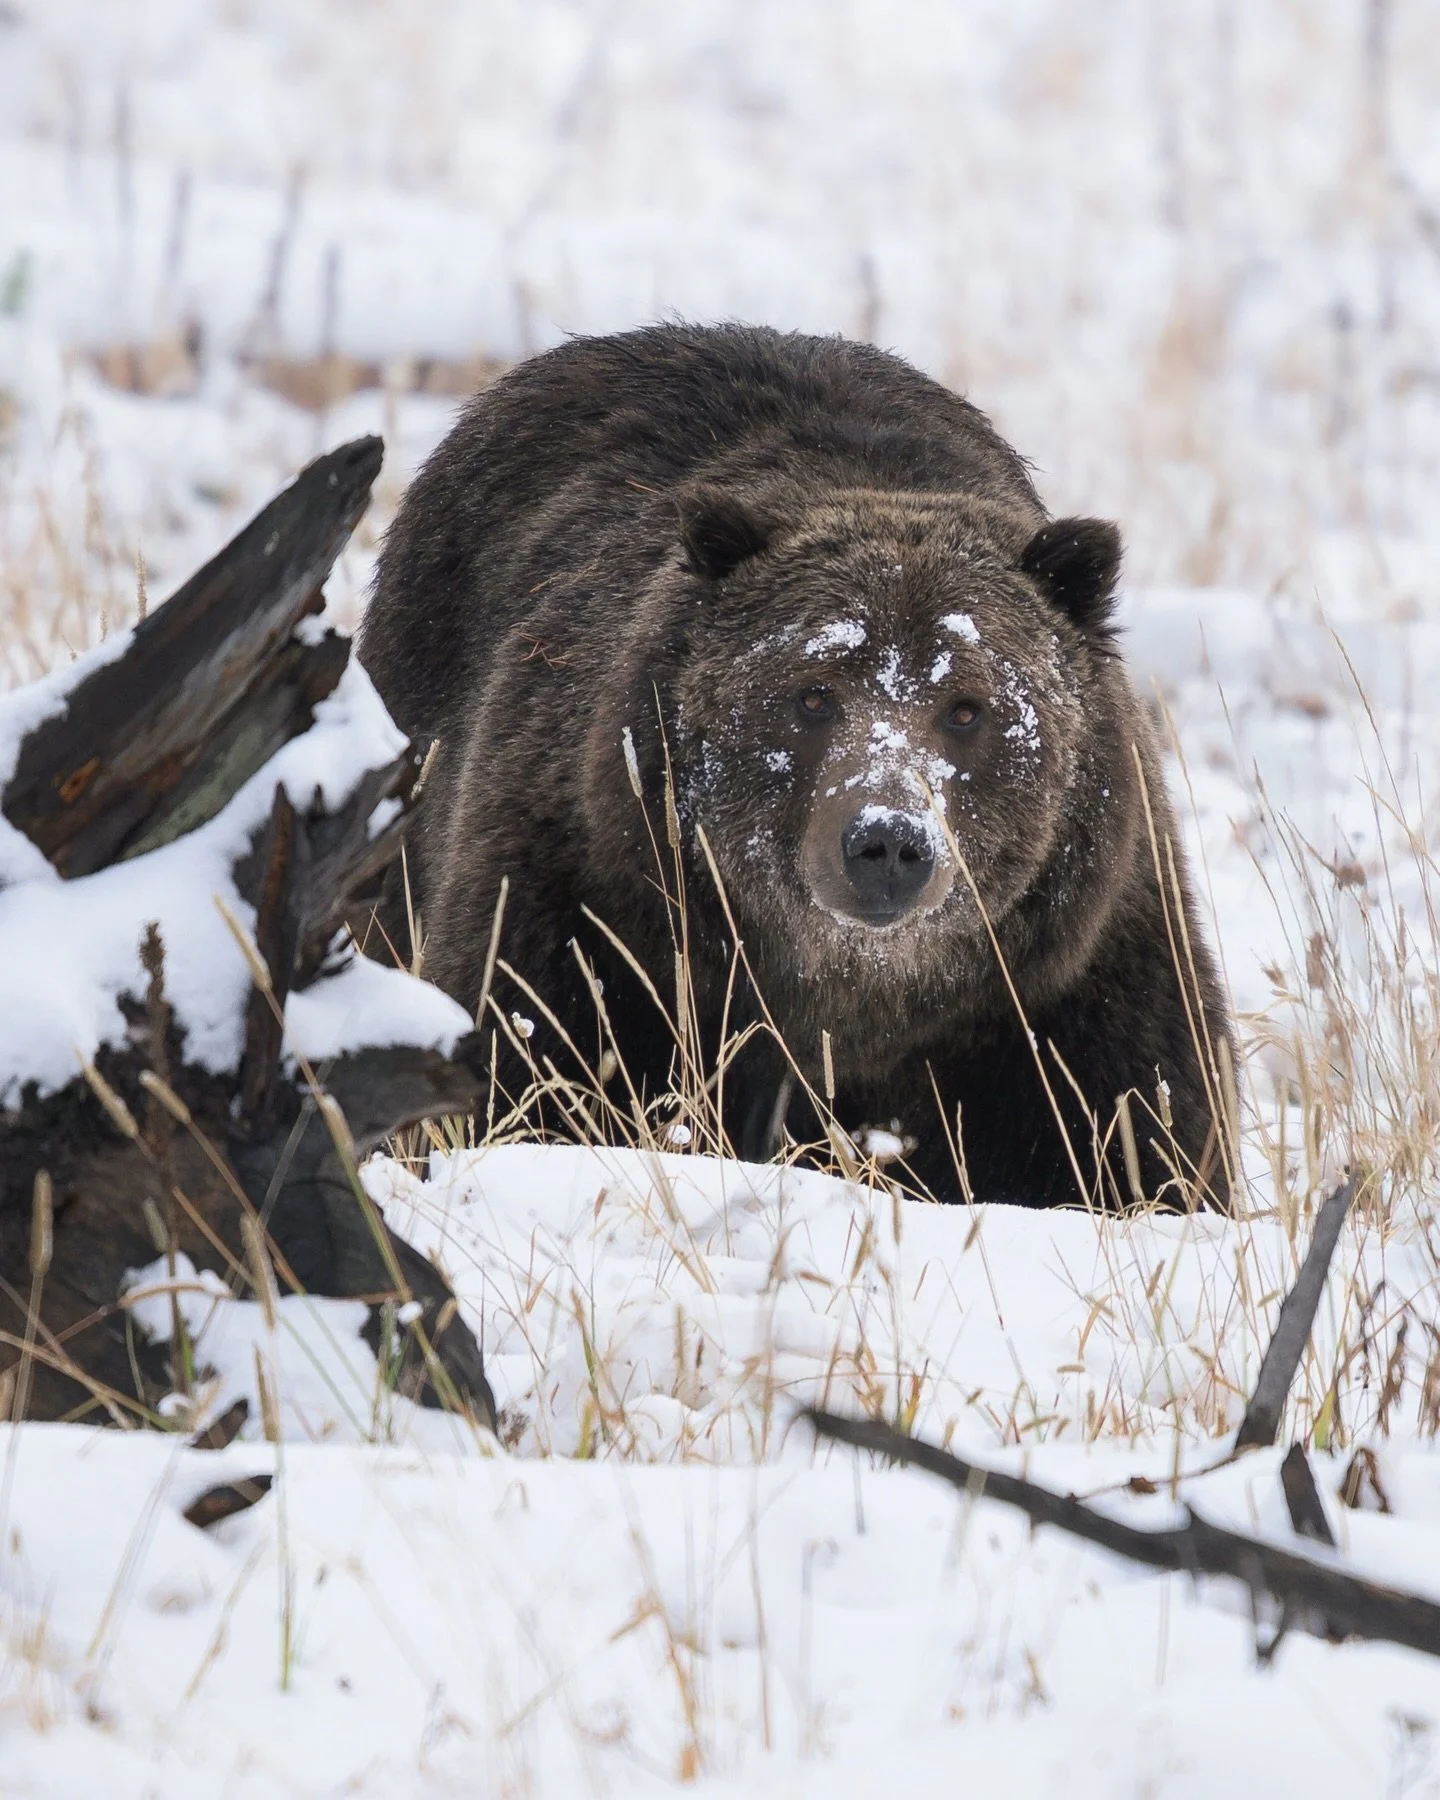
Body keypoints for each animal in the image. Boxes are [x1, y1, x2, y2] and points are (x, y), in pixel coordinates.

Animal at [359, 323, 1235, 1210]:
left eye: (966, 707)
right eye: (814, 693)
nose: (887, 840)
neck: (849, 999)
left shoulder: (1067, 992)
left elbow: (1137, 1143)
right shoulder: (589, 910)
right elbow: (519, 1063)